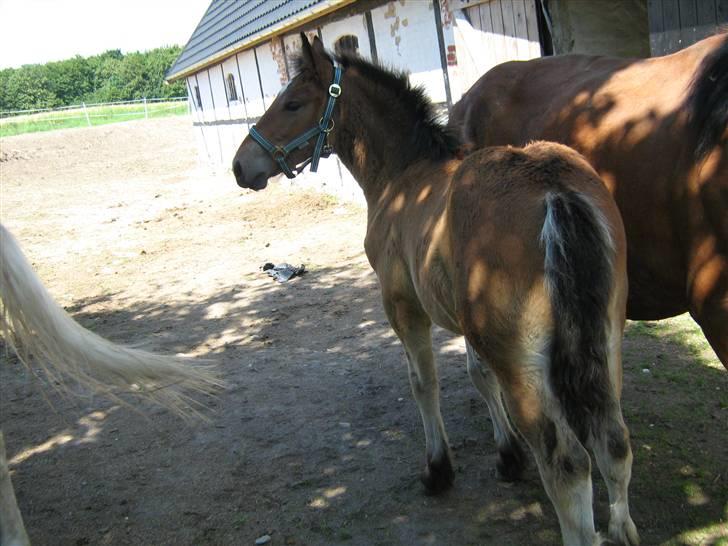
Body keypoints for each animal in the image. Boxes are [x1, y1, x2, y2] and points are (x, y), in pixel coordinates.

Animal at [232, 35, 636, 544]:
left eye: (293, 102)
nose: (240, 165)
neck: (403, 175)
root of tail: (553, 191)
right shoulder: (466, 324)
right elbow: (479, 377)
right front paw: (508, 457)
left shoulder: (403, 308)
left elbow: (424, 383)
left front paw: (438, 469)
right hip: (606, 339)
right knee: (614, 443)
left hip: (522, 363)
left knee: (568, 464)